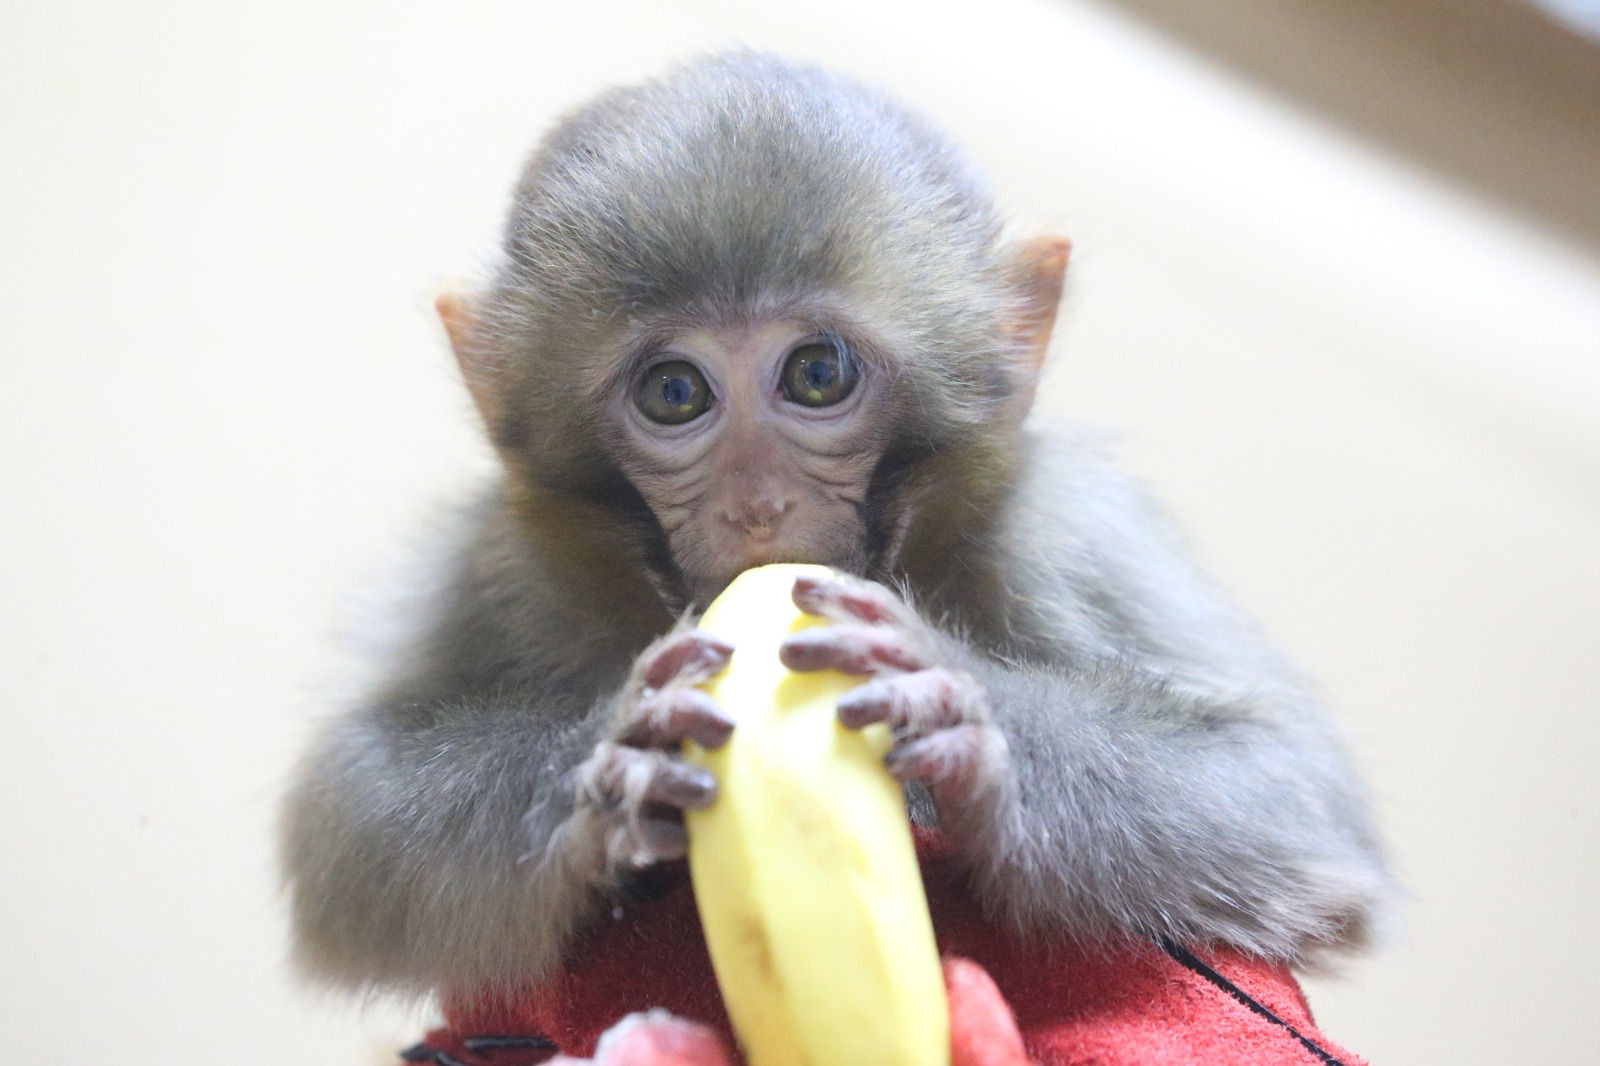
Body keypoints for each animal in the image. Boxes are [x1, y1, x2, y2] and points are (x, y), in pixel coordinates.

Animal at [281, 54, 1395, 998]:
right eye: (676, 393)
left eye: (816, 374)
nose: (756, 503)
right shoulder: (507, 559)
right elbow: (347, 814)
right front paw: (613, 763)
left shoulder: (1060, 530)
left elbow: (1290, 784)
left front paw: (960, 712)